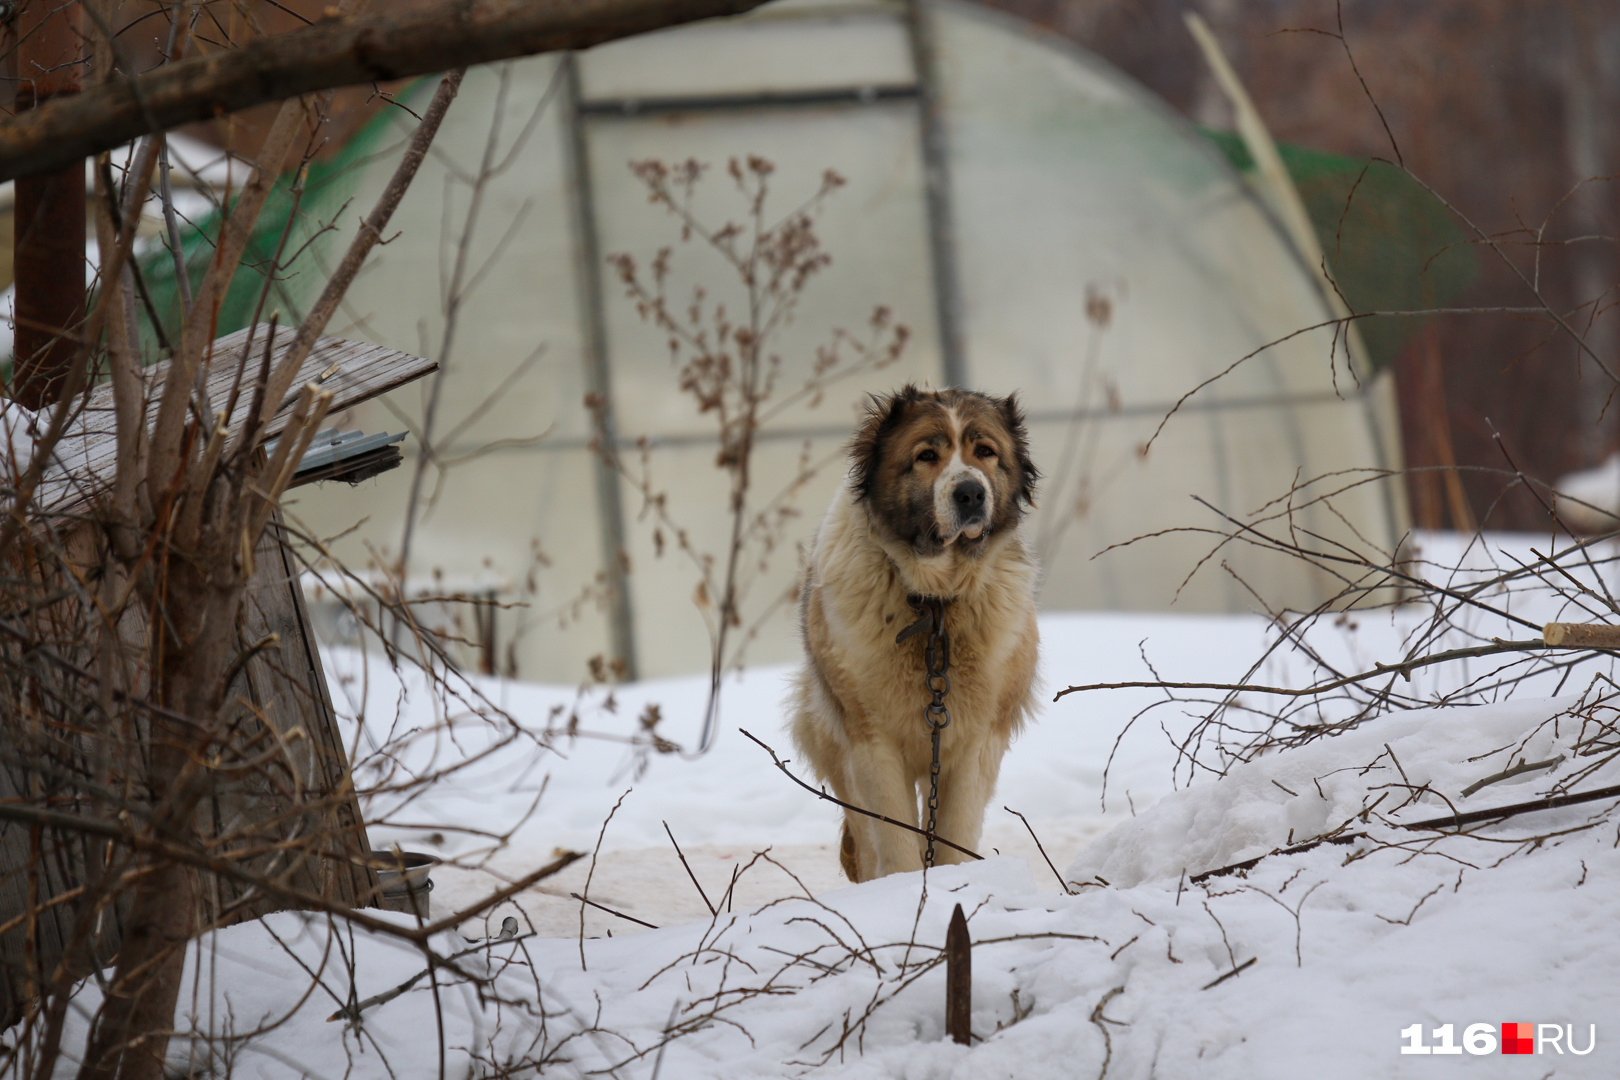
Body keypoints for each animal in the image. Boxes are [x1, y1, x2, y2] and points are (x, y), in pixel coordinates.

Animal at [790, 383, 1043, 880]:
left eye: (986, 452)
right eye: (927, 456)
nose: (970, 493)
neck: (935, 602)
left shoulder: (977, 739)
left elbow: (955, 831)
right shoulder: (871, 740)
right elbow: (893, 836)